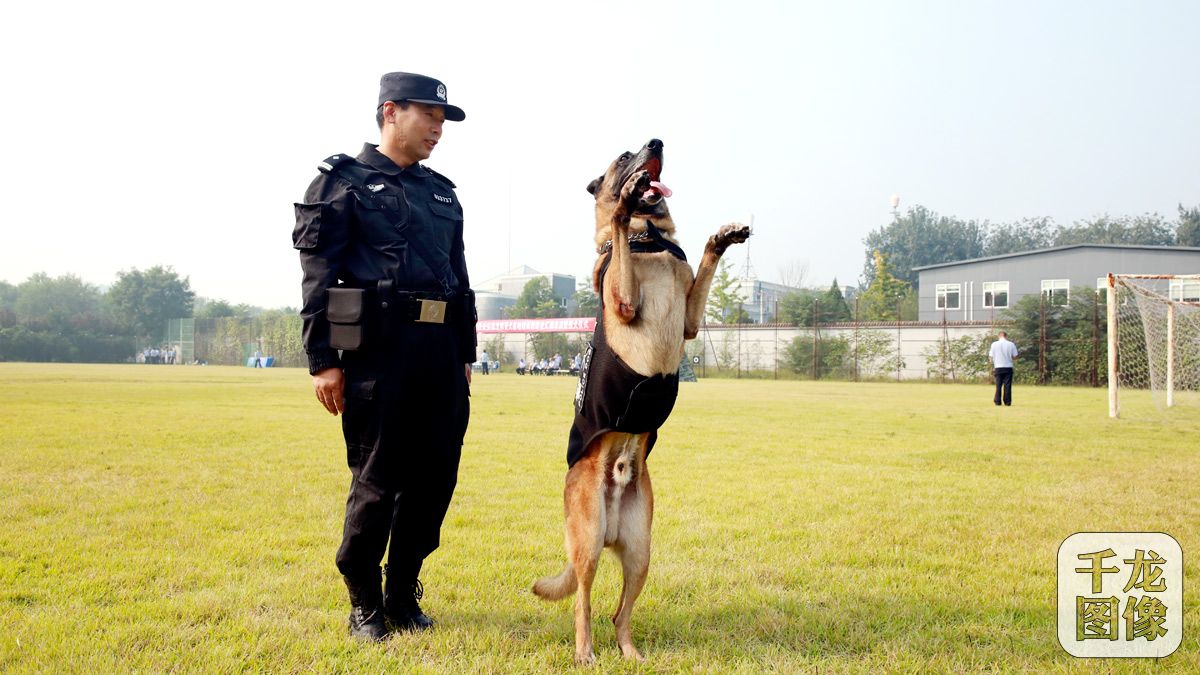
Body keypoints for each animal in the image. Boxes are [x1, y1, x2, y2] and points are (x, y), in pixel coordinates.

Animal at [530, 138, 744, 662]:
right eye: (624, 157)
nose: (656, 142)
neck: (652, 240)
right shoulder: (624, 302)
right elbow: (620, 232)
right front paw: (623, 210)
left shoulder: (690, 321)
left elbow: (704, 265)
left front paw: (722, 238)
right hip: (588, 544)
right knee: (584, 603)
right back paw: (585, 652)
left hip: (641, 550)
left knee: (618, 613)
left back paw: (630, 652)